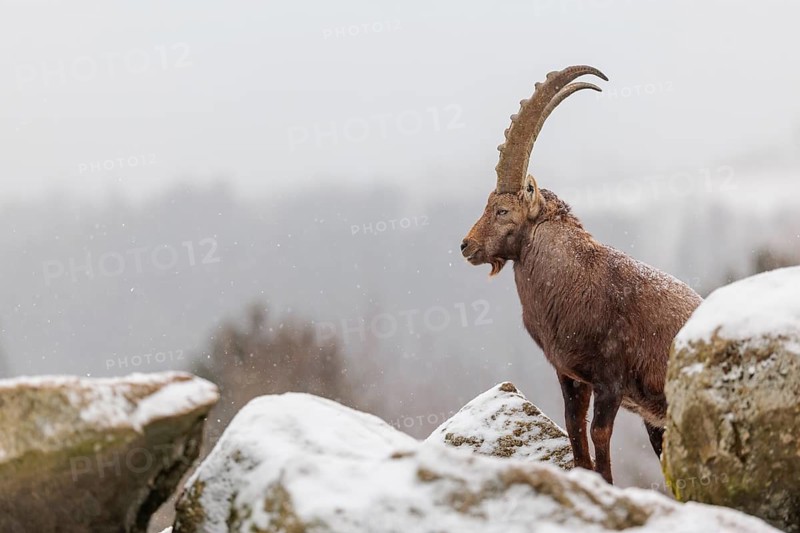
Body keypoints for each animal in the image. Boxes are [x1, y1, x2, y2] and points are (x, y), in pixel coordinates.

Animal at [460, 65, 702, 484]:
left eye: (502, 211)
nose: (466, 245)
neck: (574, 279)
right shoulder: (570, 376)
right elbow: (574, 430)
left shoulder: (611, 380)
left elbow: (598, 433)